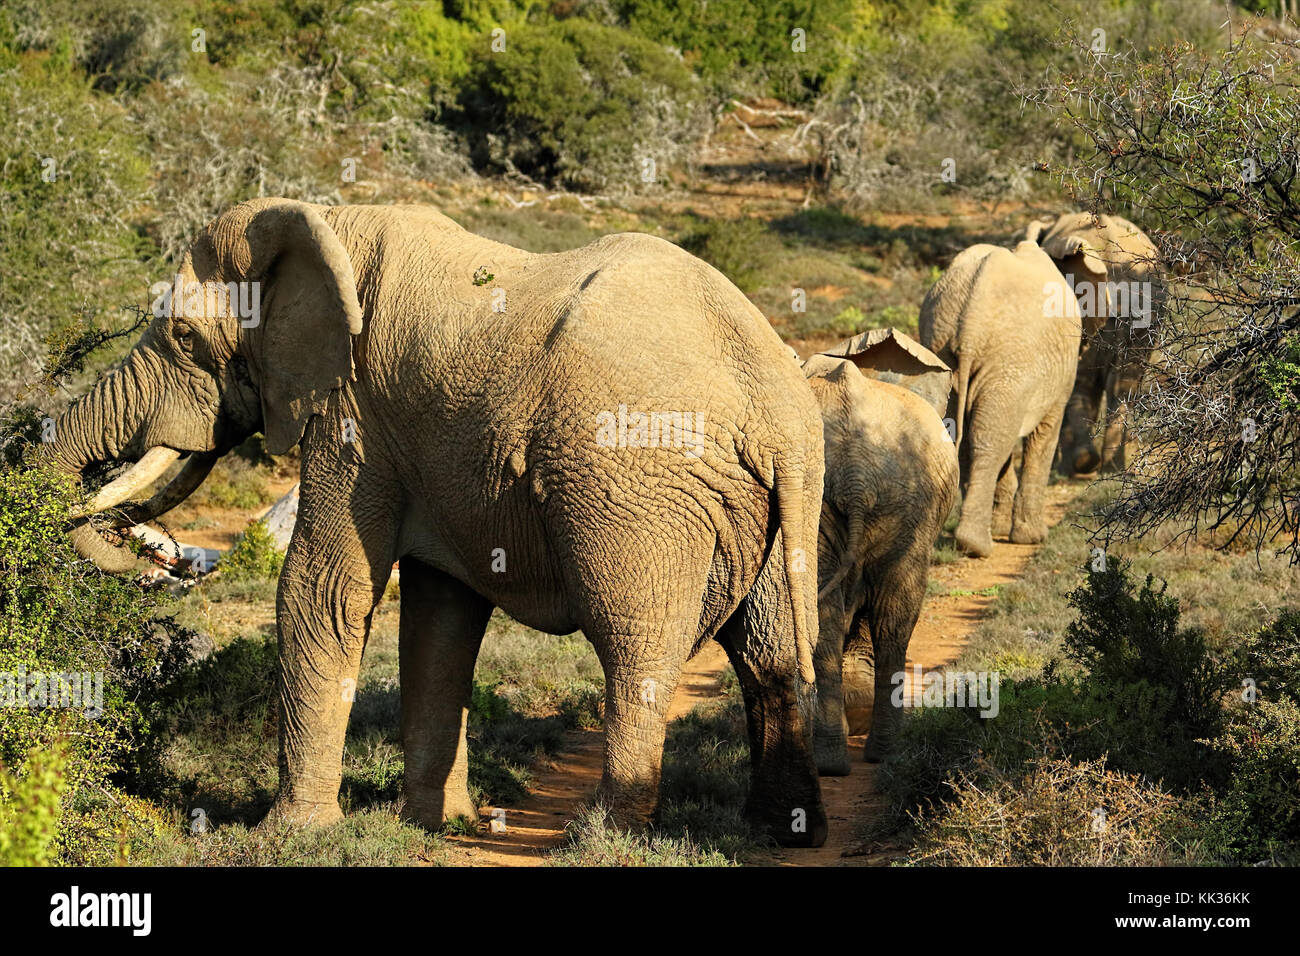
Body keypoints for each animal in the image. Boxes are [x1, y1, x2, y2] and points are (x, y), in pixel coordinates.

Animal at [48, 197, 832, 848]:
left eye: (184, 338)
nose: (162, 557)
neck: (330, 223)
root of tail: (778, 405)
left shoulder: (355, 414)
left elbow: (320, 589)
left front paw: (291, 835)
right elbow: (440, 617)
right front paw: (428, 824)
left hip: (635, 484)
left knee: (634, 647)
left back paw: (602, 838)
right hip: (778, 504)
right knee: (766, 652)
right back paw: (782, 831)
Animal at [800, 356, 956, 775]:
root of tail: (856, 473)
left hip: (897, 503)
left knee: (869, 620)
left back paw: (848, 759)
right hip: (906, 502)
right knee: (890, 621)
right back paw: (870, 755)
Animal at [920, 240, 1081, 561]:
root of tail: (970, 324)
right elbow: (1044, 435)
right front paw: (1032, 539)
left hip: (944, 350)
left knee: (969, 435)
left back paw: (970, 541)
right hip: (1010, 359)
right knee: (990, 439)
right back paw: (977, 546)